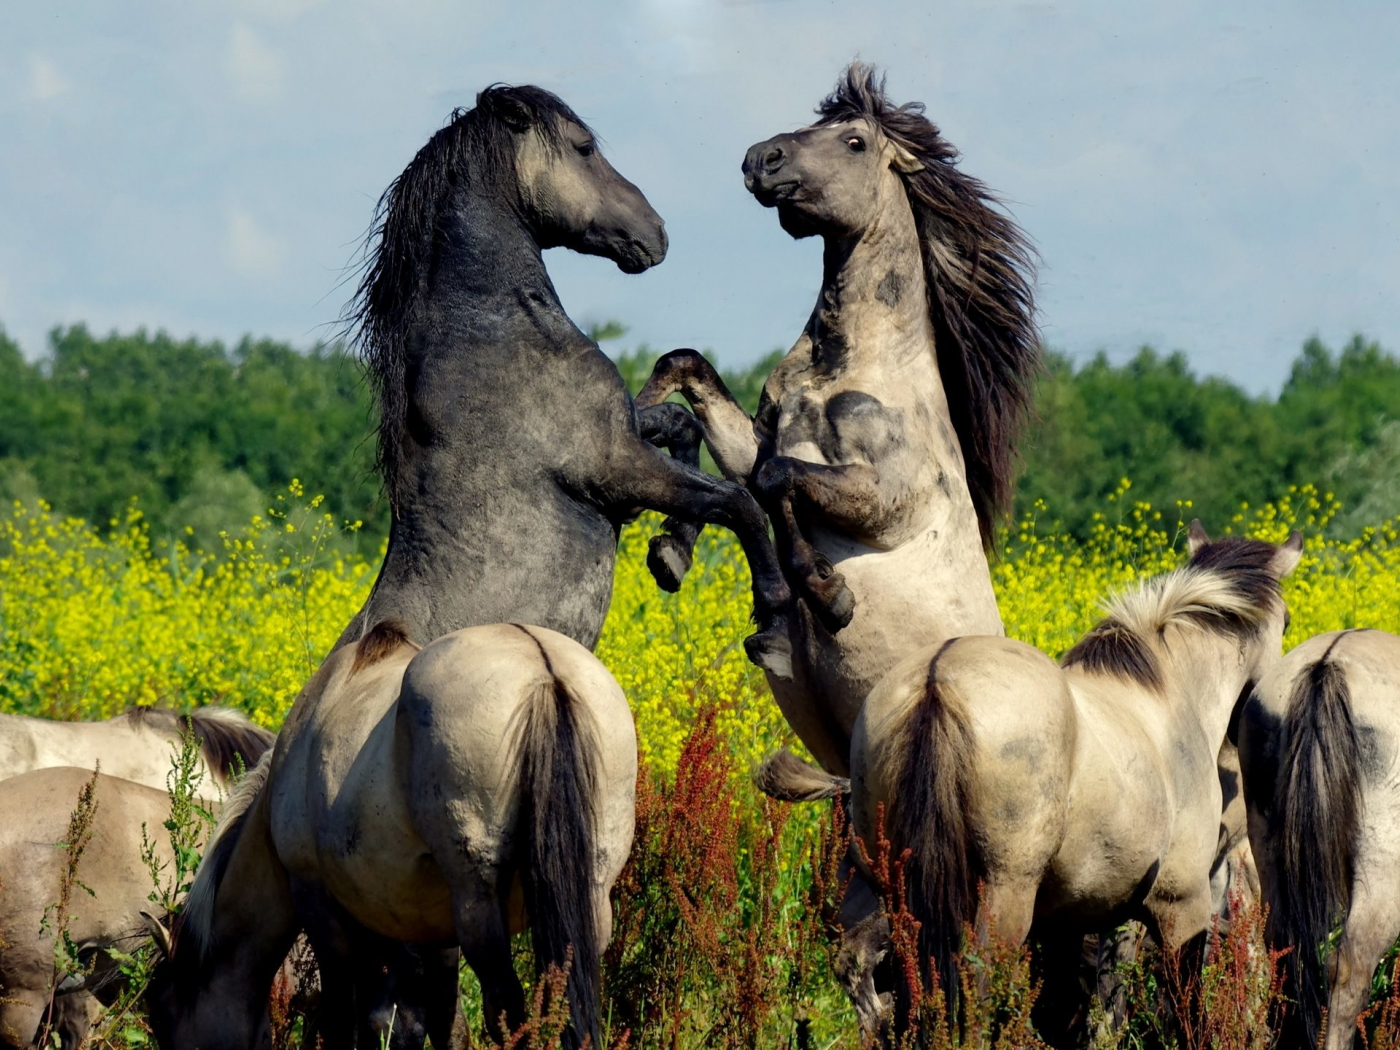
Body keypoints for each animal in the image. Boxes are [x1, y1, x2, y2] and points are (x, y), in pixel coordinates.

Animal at [144, 624, 638, 1050]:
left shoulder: (321, 906)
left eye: (163, 1014)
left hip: (479, 907)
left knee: (506, 1012)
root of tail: (542, 669)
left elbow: (346, 1017)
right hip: (587, 906)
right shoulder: (436, 933)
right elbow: (442, 1024)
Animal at [851, 529, 1299, 1041]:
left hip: (900, 895)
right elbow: (1184, 1010)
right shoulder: (1181, 904)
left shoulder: (1066, 920)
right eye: (1287, 622)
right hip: (1002, 900)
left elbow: (1068, 1009)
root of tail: (935, 681)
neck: (1169, 693)